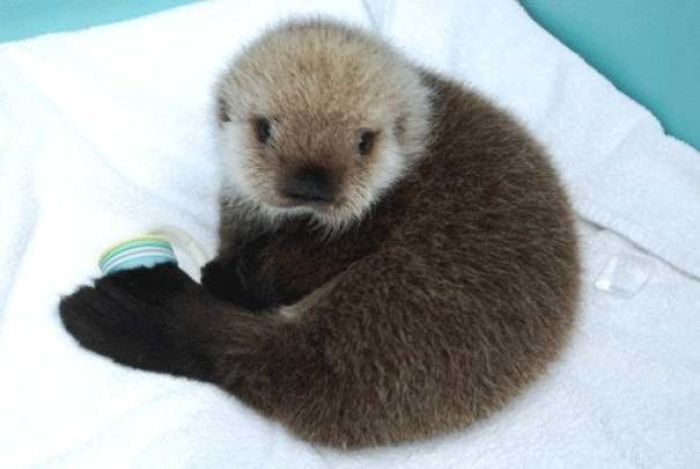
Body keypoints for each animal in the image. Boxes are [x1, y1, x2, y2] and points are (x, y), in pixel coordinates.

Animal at [59, 20, 580, 449]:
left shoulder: (371, 222)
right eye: (264, 129)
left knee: (261, 359)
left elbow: (290, 264)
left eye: (364, 141)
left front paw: (229, 272)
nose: (311, 182)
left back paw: (135, 303)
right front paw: (228, 261)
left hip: (402, 295)